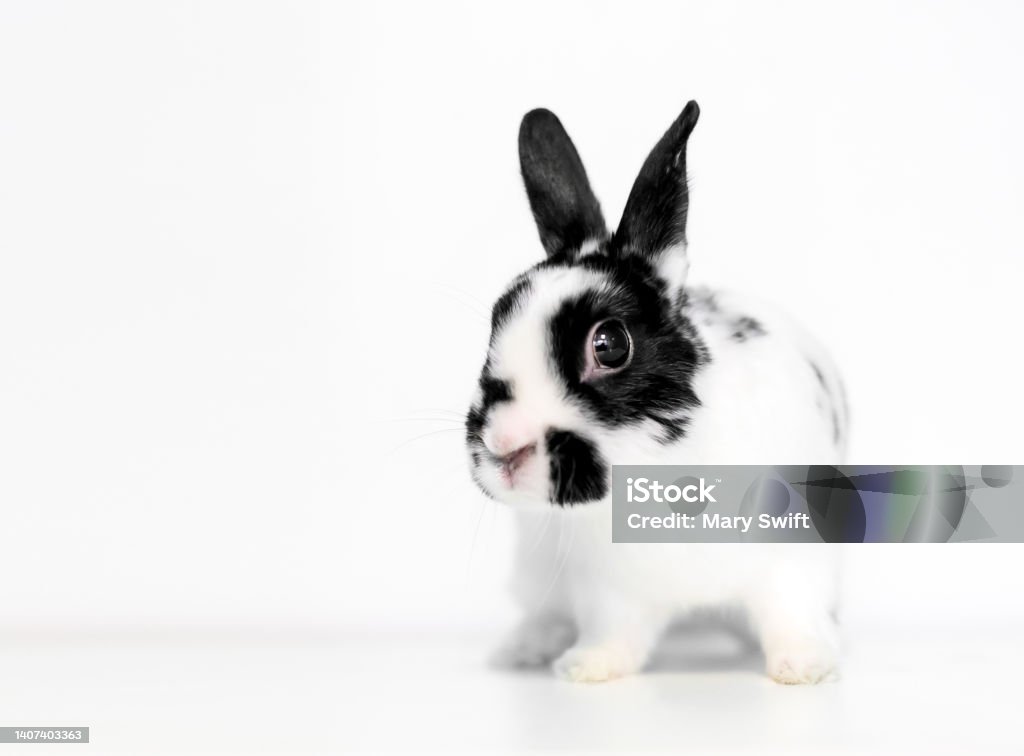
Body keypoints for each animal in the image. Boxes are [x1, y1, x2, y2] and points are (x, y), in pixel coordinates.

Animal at [464, 101, 846, 684]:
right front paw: (588, 667)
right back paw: (522, 650)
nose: (504, 446)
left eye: (610, 344)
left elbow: (792, 613)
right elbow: (613, 632)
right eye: (493, 325)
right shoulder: (609, 589)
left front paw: (803, 667)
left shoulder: (793, 558)